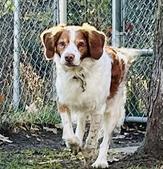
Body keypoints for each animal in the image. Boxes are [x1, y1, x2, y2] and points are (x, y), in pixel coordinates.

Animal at [40, 23, 139, 168]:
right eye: (62, 43)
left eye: (81, 44)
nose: (68, 57)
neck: (78, 74)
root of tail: (118, 54)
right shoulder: (63, 102)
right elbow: (68, 130)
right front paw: (74, 144)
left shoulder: (98, 109)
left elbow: (92, 138)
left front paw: (88, 153)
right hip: (83, 108)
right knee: (81, 124)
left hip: (113, 110)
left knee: (106, 139)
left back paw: (101, 161)